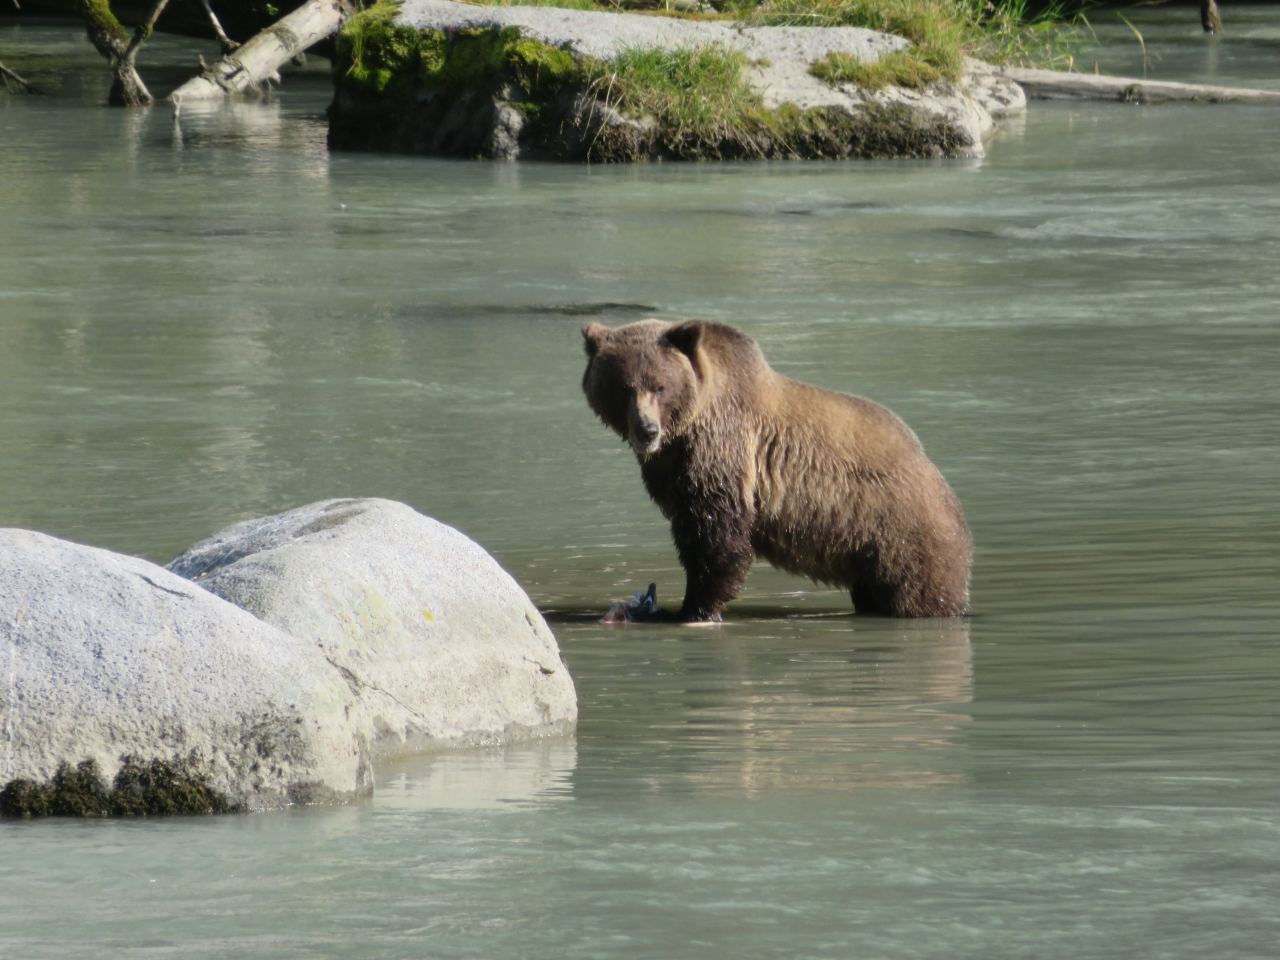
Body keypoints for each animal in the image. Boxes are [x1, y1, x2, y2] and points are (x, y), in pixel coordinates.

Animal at [581, 321, 967, 624]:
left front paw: (693, 608)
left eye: (660, 386)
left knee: (918, 589)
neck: (686, 428)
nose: (646, 430)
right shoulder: (670, 467)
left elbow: (716, 531)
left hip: (900, 528)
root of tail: (931, 468)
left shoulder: (723, 446)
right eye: (623, 387)